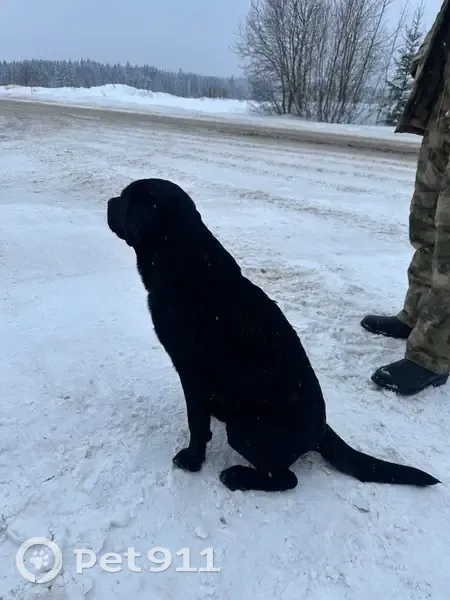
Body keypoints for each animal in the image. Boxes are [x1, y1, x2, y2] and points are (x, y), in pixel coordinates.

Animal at [107, 178, 440, 492]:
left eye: (125, 198)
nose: (109, 201)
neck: (182, 259)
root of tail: (322, 430)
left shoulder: (192, 374)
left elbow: (197, 425)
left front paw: (191, 460)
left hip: (244, 430)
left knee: (285, 478)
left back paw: (237, 477)